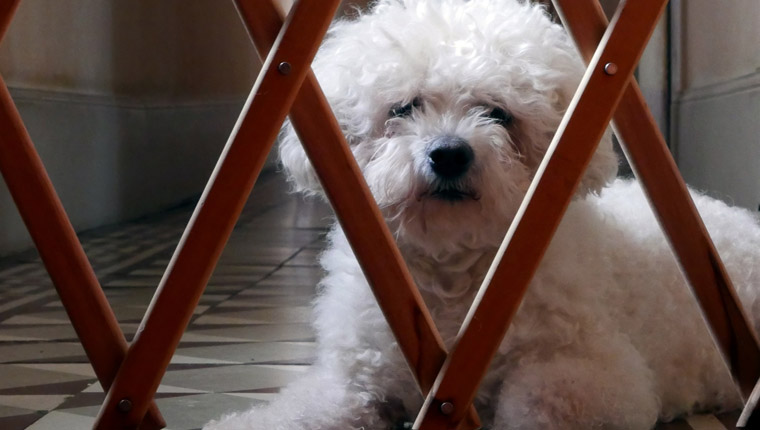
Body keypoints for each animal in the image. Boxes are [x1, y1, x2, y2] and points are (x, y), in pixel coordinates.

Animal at [203, 1, 760, 428]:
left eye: (498, 113)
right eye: (403, 108)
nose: (450, 154)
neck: (453, 275)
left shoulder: (601, 373)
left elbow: (538, 401)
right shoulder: (356, 379)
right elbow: (305, 409)